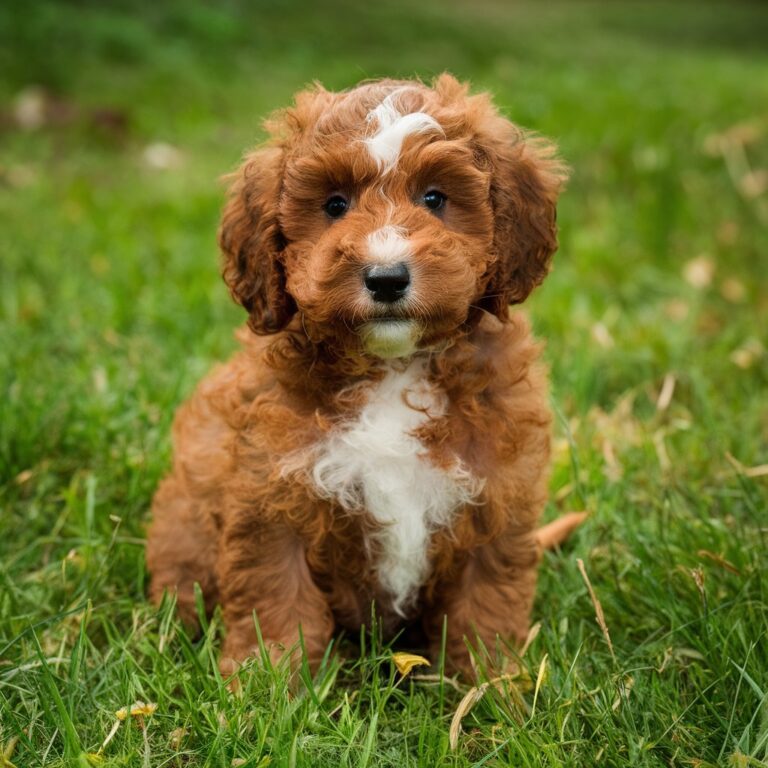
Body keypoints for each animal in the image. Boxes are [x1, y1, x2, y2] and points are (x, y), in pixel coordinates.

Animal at [147, 75, 568, 676]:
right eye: (334, 204)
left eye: (434, 198)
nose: (386, 277)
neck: (393, 367)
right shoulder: (269, 497)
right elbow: (277, 600)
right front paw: (266, 684)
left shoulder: (496, 500)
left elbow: (485, 604)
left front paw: (492, 684)